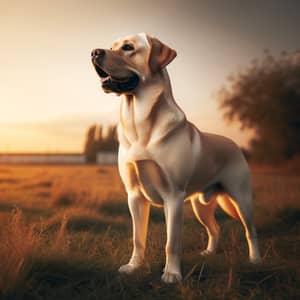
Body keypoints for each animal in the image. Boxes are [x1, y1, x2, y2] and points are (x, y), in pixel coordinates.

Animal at [91, 33, 260, 284]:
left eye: (128, 48)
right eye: (112, 46)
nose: (94, 52)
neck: (140, 124)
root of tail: (233, 144)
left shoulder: (174, 197)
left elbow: (172, 242)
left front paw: (171, 275)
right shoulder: (135, 197)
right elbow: (137, 238)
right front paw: (134, 267)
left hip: (241, 199)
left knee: (251, 230)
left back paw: (256, 259)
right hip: (200, 205)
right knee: (215, 228)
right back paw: (208, 253)